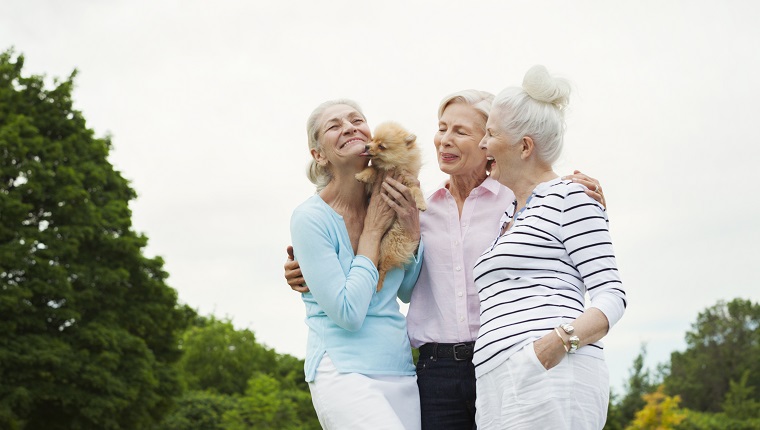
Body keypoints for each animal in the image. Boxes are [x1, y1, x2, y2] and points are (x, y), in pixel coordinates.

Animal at [356, 119, 428, 290]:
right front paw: (362, 175)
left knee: (383, 266)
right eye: (372, 139)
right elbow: (372, 169)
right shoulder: (378, 175)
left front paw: (421, 203)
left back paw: (378, 284)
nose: (366, 146)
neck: (391, 166)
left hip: (392, 242)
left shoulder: (408, 181)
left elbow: (417, 190)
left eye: (381, 146)